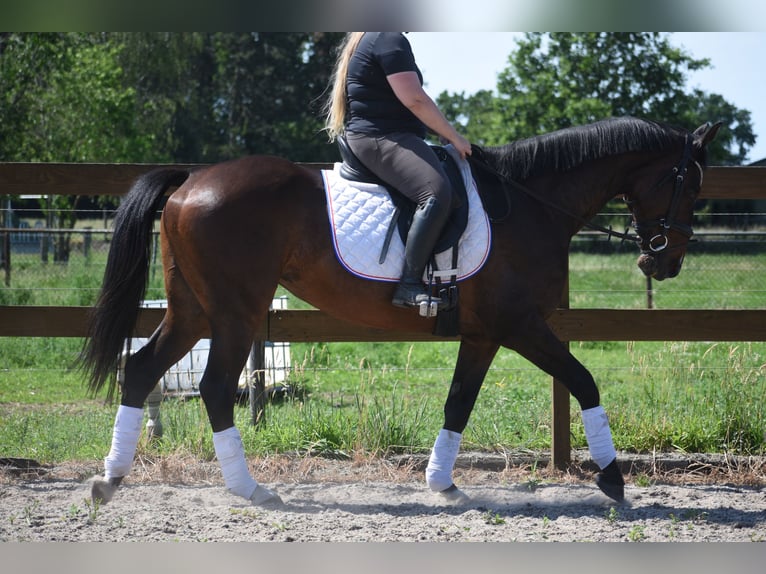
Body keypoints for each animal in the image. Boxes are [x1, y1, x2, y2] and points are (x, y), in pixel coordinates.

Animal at [80, 116, 721, 507]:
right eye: (689, 184)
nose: (665, 262)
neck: (531, 203)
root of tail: (192, 181)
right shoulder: (520, 325)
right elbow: (583, 379)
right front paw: (612, 478)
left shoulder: (484, 333)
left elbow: (459, 401)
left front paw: (443, 485)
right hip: (234, 313)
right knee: (214, 387)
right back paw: (250, 489)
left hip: (193, 311)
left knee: (142, 369)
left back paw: (110, 478)